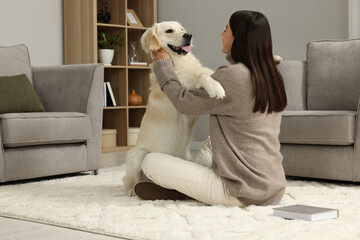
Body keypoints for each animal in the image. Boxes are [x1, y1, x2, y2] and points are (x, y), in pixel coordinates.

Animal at [123, 21, 225, 195]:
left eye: (182, 29)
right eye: (169, 31)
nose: (188, 35)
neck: (178, 61)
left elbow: (207, 72)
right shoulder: (184, 90)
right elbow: (201, 76)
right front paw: (215, 88)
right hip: (137, 154)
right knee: (132, 181)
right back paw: (131, 191)